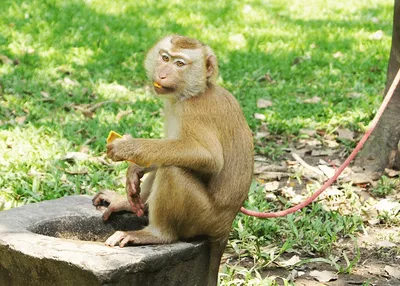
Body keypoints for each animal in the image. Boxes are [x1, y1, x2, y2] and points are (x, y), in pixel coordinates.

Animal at [92, 34, 252, 284]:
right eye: (165, 58)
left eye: (180, 64)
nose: (163, 74)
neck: (194, 92)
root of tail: (224, 228)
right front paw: (134, 170)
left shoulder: (193, 112)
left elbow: (208, 158)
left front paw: (126, 147)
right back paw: (131, 202)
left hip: (203, 217)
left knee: (173, 169)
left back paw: (157, 235)